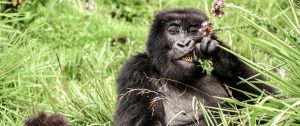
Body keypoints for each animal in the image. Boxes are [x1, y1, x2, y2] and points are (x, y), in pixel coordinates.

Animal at [113, 8, 276, 125]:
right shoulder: (135, 70)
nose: (184, 43)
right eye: (173, 31)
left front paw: (222, 57)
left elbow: (269, 100)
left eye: (192, 31)